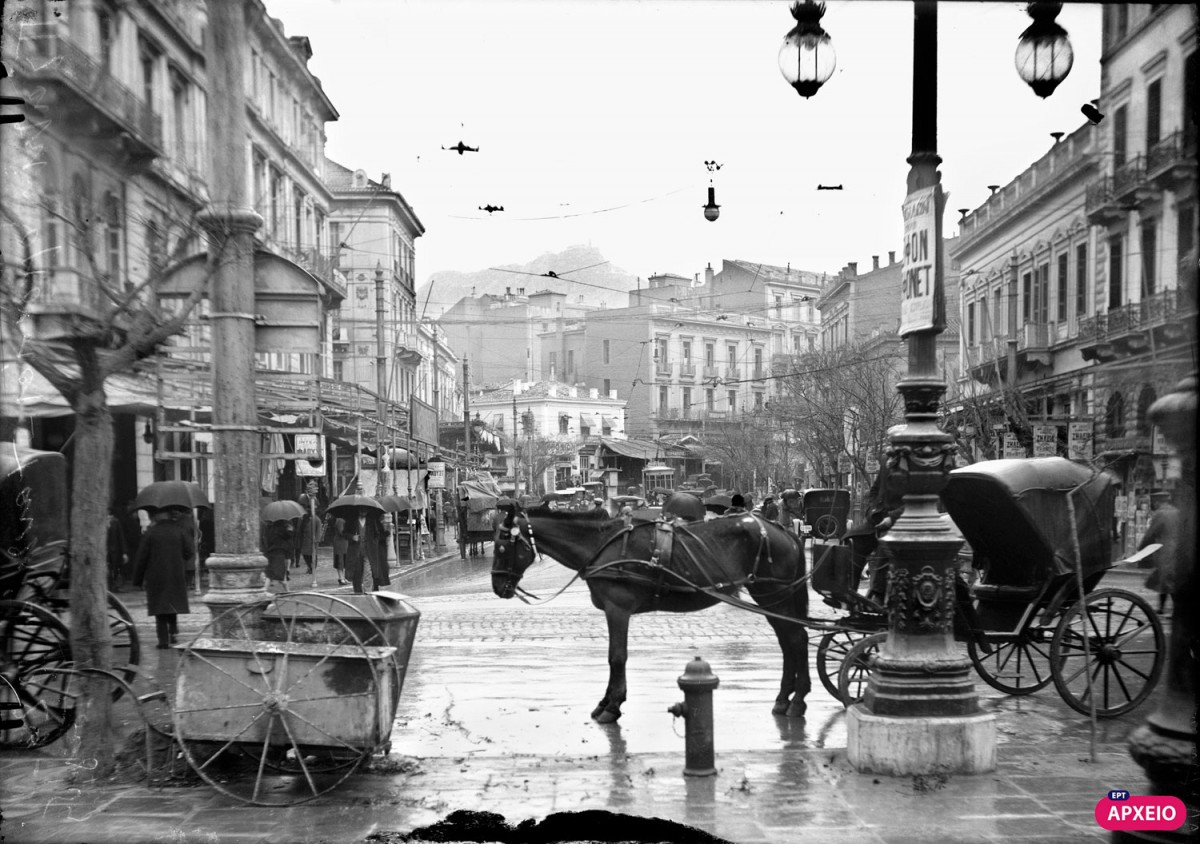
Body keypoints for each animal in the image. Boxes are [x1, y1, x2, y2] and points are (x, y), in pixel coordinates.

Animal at [492, 501, 811, 725]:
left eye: (502, 547)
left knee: (796, 640)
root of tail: (782, 530)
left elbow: (616, 657)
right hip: (772, 598)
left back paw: (796, 701)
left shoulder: (617, 609)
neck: (602, 545)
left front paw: (612, 706)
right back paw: (785, 699)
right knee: (790, 642)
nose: (497, 587)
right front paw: (606, 702)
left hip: (774, 595)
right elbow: (614, 657)